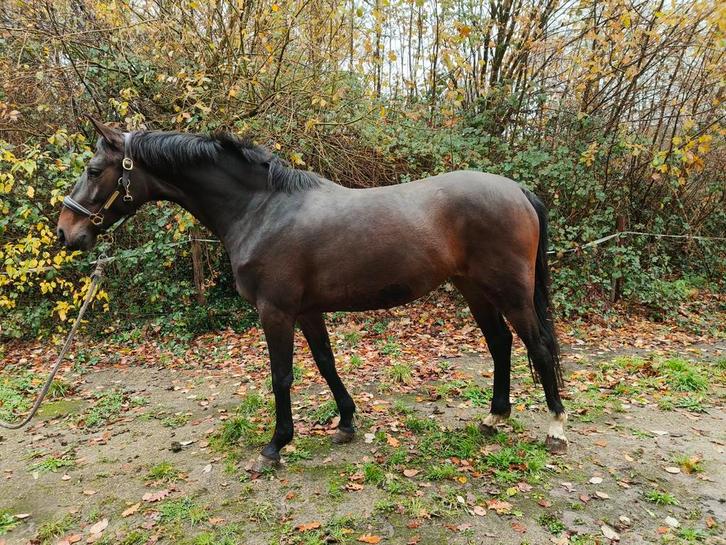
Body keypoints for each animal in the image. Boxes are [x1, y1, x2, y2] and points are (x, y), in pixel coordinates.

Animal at [57, 117, 568, 471]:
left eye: (94, 169)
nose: (65, 232)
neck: (262, 209)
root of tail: (518, 190)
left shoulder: (275, 312)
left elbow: (282, 376)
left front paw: (275, 446)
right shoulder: (306, 311)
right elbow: (325, 363)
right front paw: (345, 423)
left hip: (511, 291)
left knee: (538, 347)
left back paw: (556, 428)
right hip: (474, 289)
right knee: (501, 344)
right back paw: (495, 417)